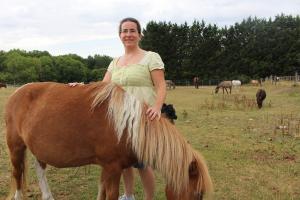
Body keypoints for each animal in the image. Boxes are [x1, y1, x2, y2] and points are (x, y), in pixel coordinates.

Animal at [4, 81, 211, 200]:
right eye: (197, 194)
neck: (128, 127)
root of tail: (17, 92)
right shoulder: (112, 168)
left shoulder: (107, 168)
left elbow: (101, 193)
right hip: (15, 147)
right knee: (17, 173)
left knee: (39, 169)